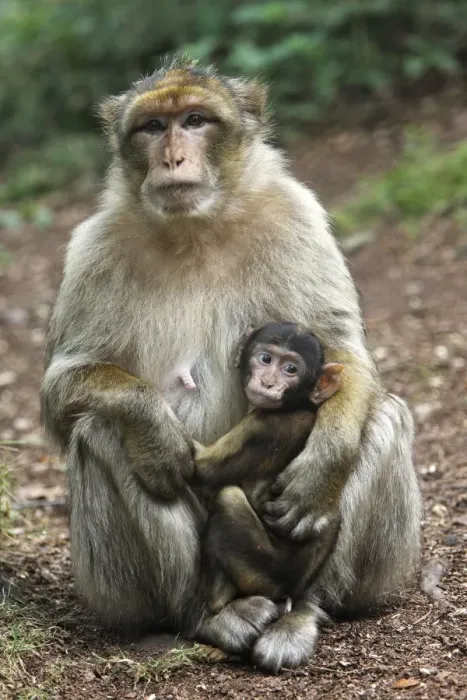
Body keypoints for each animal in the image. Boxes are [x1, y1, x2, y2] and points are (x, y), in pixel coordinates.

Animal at [192, 323, 344, 613]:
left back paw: (217, 602)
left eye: (291, 369)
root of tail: (287, 589)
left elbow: (201, 470)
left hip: (261, 572)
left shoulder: (263, 427)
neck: (297, 404)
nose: (268, 383)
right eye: (265, 359)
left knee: (227, 497)